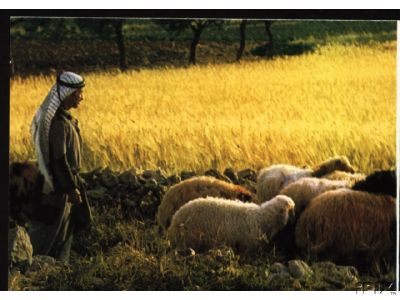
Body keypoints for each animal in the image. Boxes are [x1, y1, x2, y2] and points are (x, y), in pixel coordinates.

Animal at [167, 195, 296, 253]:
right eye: (290, 210)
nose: (294, 220)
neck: (262, 217)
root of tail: (174, 220)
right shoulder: (246, 245)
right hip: (190, 238)